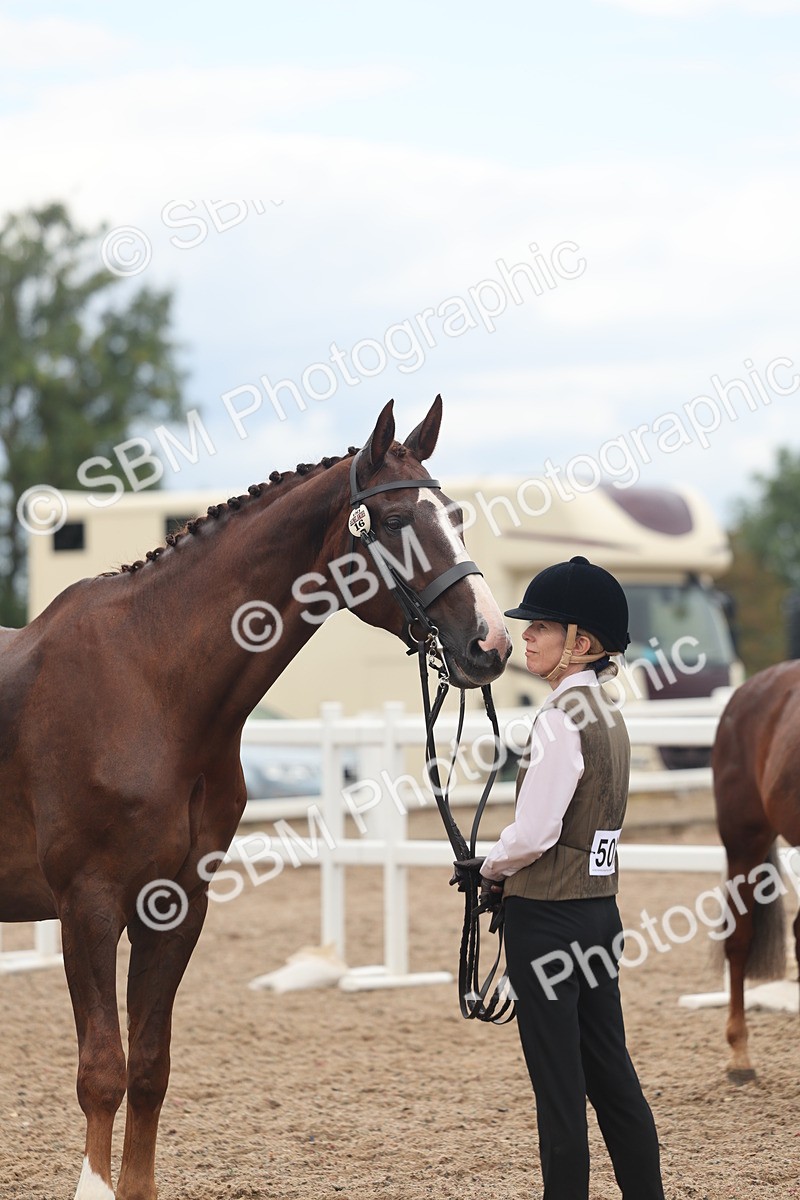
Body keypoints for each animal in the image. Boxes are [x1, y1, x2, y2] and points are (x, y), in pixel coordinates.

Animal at [0, 396, 512, 1200]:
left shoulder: (175, 906)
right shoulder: (87, 905)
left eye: (455, 516)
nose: (491, 644)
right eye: (397, 521)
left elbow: (149, 1068)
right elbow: (102, 1071)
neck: (149, 685)